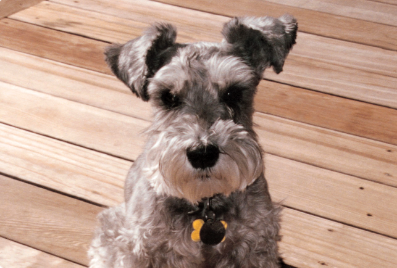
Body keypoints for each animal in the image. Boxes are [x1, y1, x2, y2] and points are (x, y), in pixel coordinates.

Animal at [88, 15, 296, 268]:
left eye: (233, 93)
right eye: (168, 97)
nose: (203, 153)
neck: (205, 206)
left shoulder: (255, 248)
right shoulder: (142, 249)